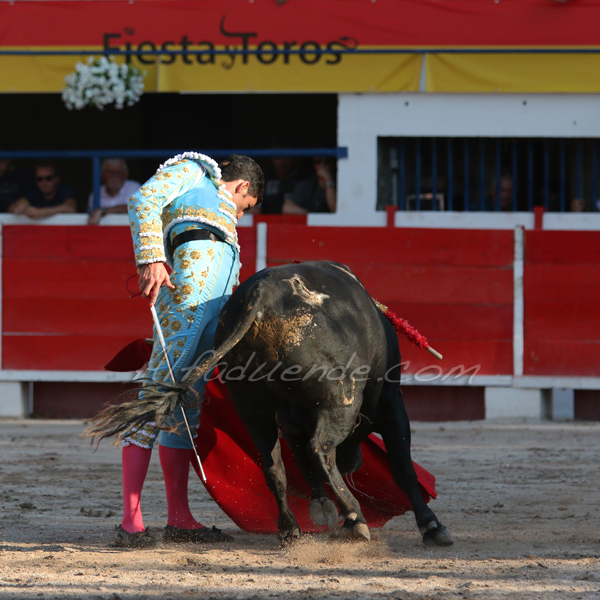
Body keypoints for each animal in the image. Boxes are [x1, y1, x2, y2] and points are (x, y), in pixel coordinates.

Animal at [185, 260, 452, 548]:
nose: (352, 464)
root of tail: (264, 292)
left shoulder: (289, 421)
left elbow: (301, 460)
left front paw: (320, 504)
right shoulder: (391, 402)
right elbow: (402, 467)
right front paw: (432, 526)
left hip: (250, 406)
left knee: (274, 466)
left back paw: (290, 529)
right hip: (340, 400)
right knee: (320, 448)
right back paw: (355, 517)